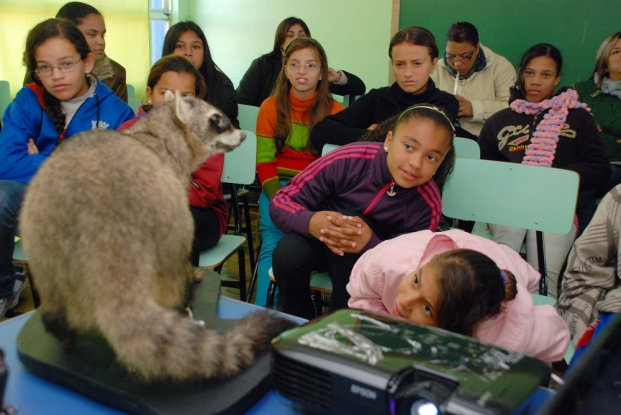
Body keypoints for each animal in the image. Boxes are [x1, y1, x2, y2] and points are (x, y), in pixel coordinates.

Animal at [20, 92, 296, 382]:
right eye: (217, 119)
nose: (244, 135)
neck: (159, 129)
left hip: (44, 235)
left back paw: (61, 329)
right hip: (164, 222)